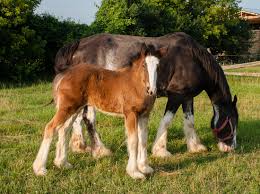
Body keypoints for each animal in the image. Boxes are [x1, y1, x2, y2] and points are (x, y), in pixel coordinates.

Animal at [33, 44, 167, 179]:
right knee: (50, 128)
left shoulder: (144, 115)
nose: (151, 90)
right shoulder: (130, 114)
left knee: (64, 129)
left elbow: (143, 140)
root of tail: (65, 73)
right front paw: (135, 173)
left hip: (74, 109)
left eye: (158, 66)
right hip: (67, 108)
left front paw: (145, 168)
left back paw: (62, 163)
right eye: (144, 65)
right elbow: (134, 141)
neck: (136, 84)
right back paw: (40, 169)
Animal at [54, 31, 238, 158]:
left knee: (77, 118)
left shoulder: (187, 96)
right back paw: (101, 150)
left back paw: (80, 146)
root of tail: (78, 45)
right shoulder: (176, 96)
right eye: (232, 121)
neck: (192, 59)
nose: (231, 147)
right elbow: (167, 120)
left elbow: (189, 121)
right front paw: (160, 150)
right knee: (88, 119)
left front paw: (195, 146)